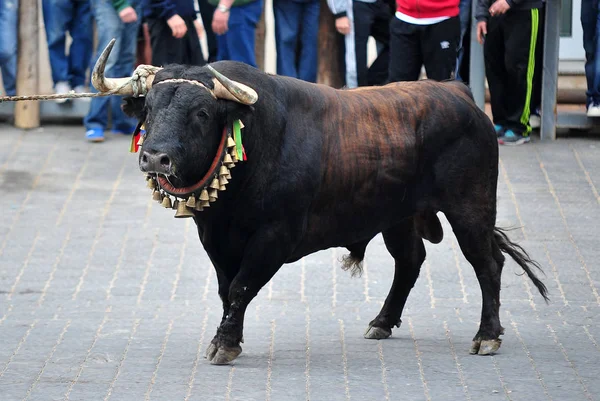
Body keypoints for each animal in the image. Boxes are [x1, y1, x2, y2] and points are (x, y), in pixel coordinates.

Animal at [94, 49, 548, 362]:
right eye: (149, 110)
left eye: (202, 112)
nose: (155, 157)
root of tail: (458, 91)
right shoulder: (215, 237)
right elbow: (227, 289)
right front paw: (229, 337)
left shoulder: (275, 236)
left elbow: (241, 286)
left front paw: (224, 345)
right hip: (398, 216)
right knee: (410, 261)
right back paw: (381, 322)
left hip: (470, 208)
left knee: (487, 264)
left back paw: (487, 336)